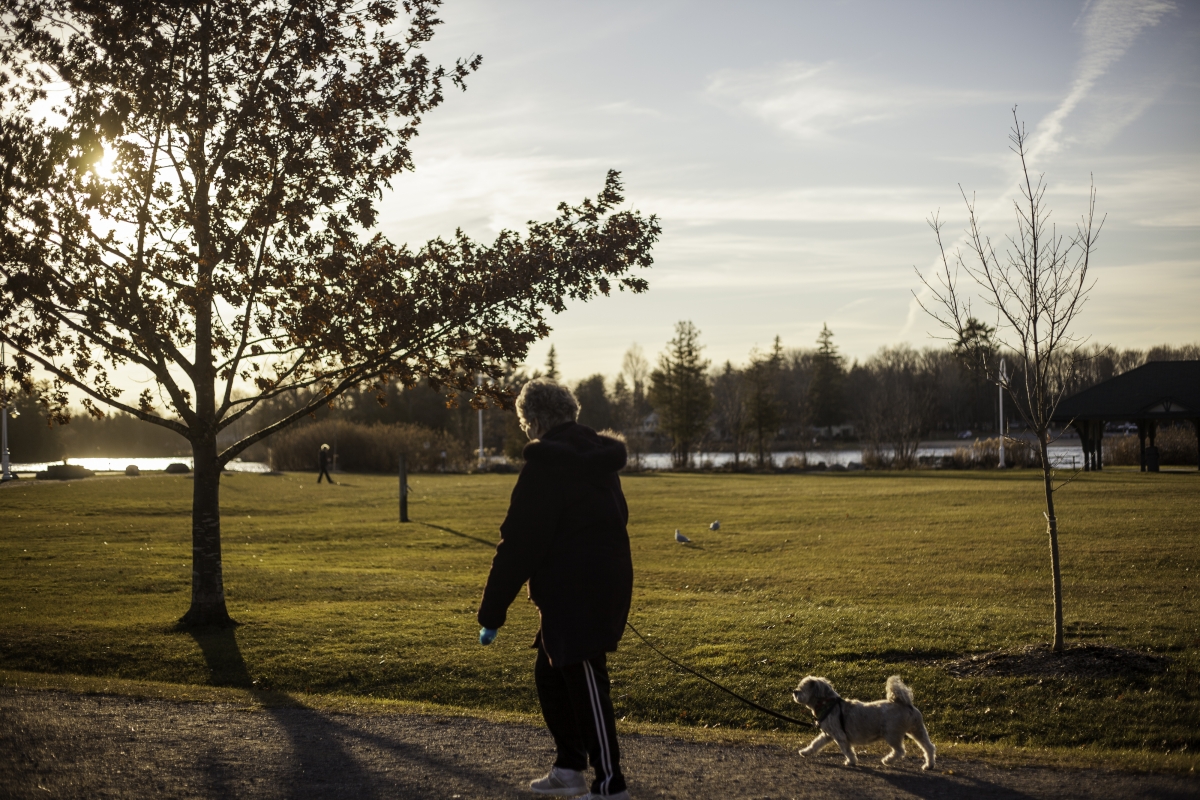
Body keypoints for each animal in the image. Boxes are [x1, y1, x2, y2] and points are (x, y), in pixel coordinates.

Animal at [796, 676, 936, 767]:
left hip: (892, 734)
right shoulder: (828, 735)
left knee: (900, 751)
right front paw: (805, 752)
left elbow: (847, 750)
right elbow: (816, 744)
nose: (794, 691)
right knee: (928, 747)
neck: (827, 704)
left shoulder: (839, 735)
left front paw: (851, 761)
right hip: (917, 730)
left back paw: (888, 760)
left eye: (802, 688)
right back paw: (929, 765)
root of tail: (906, 704)